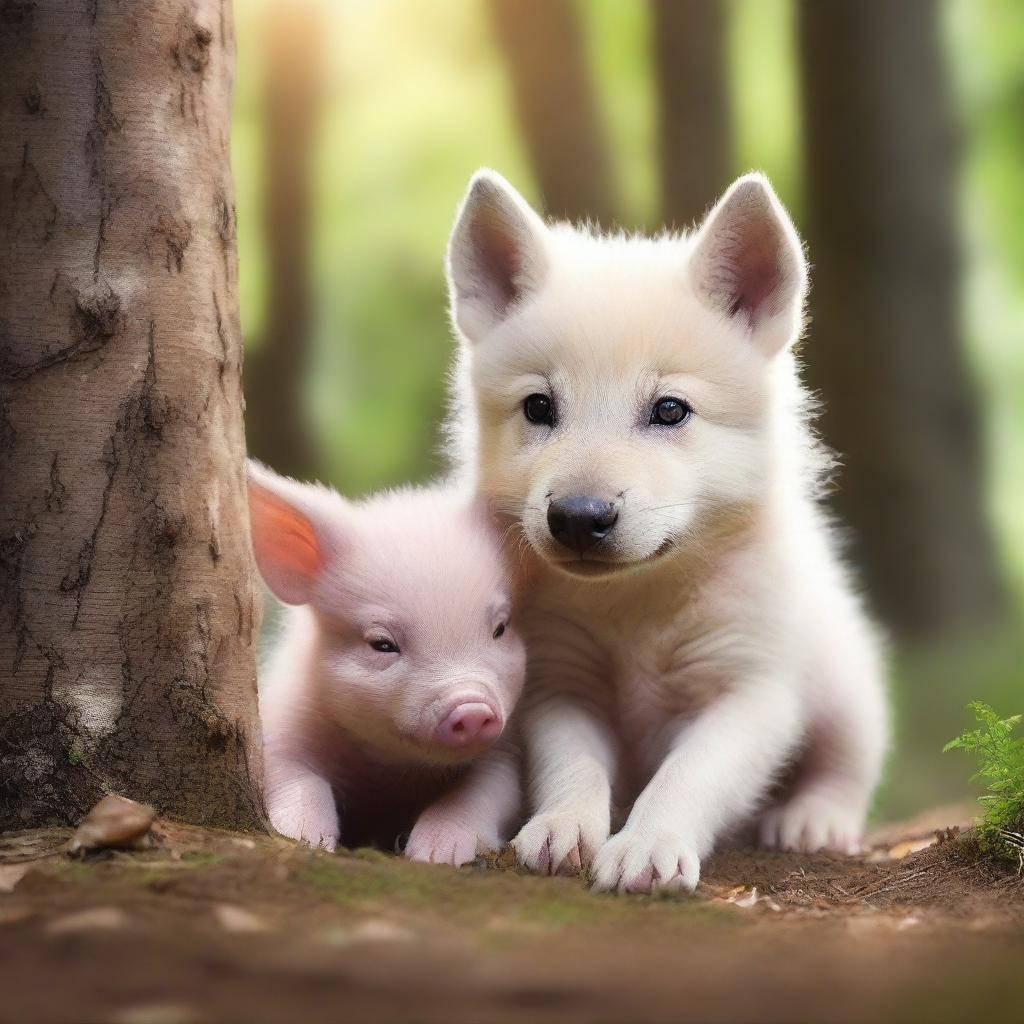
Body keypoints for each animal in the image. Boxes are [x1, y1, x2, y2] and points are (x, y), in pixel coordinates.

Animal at [248, 460, 527, 866]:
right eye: (382, 644)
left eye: (500, 628)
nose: (471, 707)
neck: (392, 774)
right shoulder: (282, 720)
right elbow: (293, 773)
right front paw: (302, 837)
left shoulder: (508, 750)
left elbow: (487, 791)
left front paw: (433, 855)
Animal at [443, 169, 889, 892]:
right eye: (538, 407)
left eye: (670, 410)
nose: (578, 517)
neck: (638, 607)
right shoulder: (559, 684)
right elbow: (572, 766)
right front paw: (562, 827)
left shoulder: (750, 693)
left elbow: (689, 773)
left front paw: (647, 845)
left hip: (846, 687)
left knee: (848, 763)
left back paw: (813, 818)